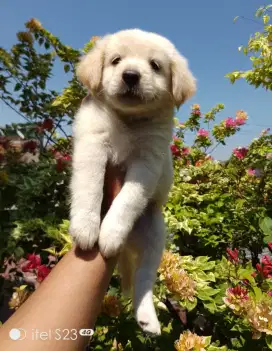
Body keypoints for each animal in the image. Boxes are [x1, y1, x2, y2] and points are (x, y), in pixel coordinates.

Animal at [69, 29, 194, 336]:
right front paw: (86, 226)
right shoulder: (92, 142)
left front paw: (110, 233)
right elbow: (89, 185)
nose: (130, 75)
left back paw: (147, 317)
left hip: (155, 234)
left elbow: (127, 200)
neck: (129, 120)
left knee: (144, 279)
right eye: (116, 60)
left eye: (155, 65)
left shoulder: (147, 164)